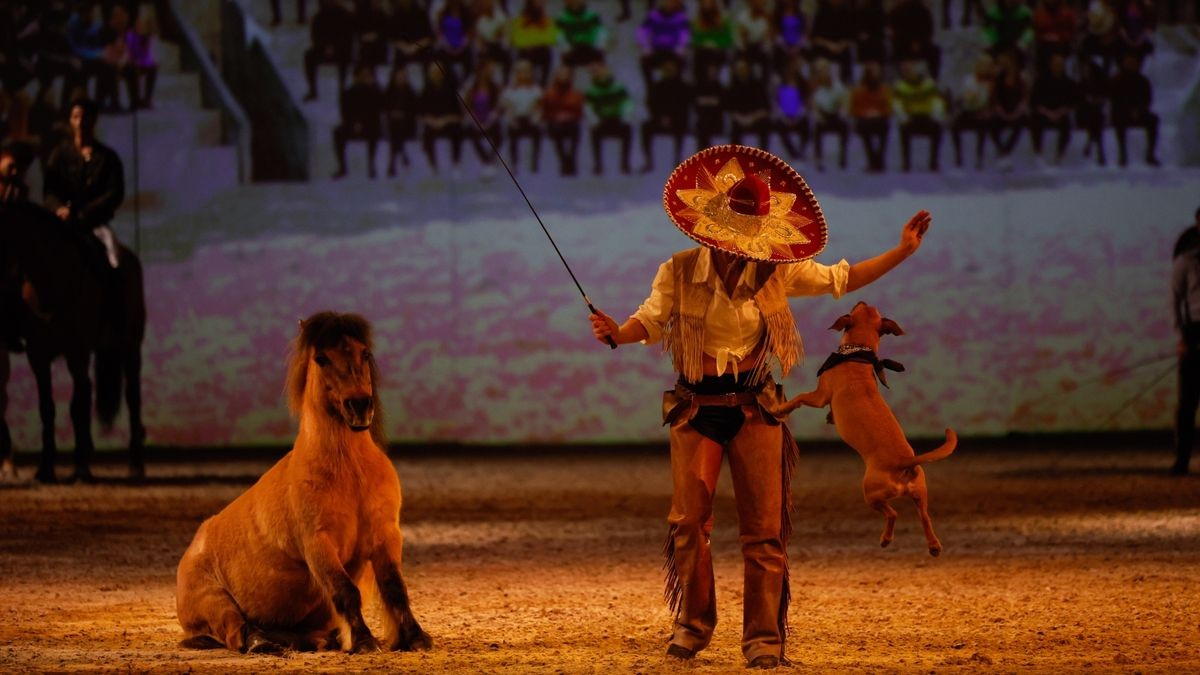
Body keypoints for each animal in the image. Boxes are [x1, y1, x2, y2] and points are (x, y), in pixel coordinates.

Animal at [0, 196, 147, 480]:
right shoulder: (38, 355)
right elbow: (47, 407)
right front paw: (46, 468)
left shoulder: (76, 351)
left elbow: (76, 406)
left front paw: (79, 468)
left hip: (130, 346)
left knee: (131, 397)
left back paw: (135, 464)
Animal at [174, 312, 427, 653]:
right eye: (321, 358)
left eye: (365, 353)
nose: (359, 405)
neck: (350, 474)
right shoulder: (319, 545)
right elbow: (345, 591)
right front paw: (363, 641)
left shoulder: (385, 536)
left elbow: (395, 589)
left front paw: (417, 638)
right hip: (217, 604)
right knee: (237, 631)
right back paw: (262, 642)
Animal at [777, 299, 955, 552]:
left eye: (856, 308)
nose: (860, 299)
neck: (857, 353)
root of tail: (904, 462)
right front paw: (830, 417)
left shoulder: (819, 396)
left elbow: (798, 399)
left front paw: (780, 409)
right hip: (920, 494)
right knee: (924, 517)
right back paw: (933, 546)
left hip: (871, 493)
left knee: (893, 514)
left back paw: (886, 539)